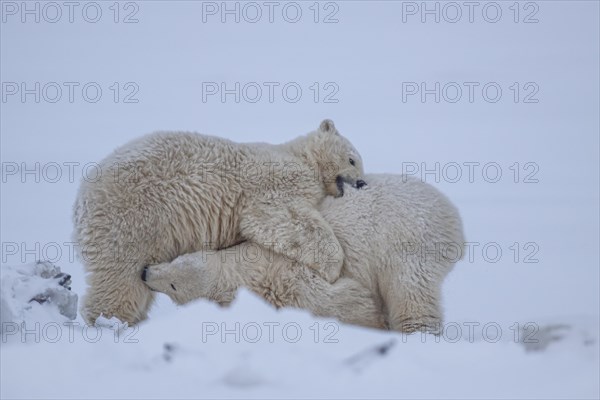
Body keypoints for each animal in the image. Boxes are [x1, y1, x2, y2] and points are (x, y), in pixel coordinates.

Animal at [144, 173, 464, 332]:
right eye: (174, 260)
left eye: (173, 286)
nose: (145, 272)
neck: (248, 266)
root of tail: (452, 216)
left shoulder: (286, 274)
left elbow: (335, 297)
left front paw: (368, 317)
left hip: (408, 242)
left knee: (410, 290)